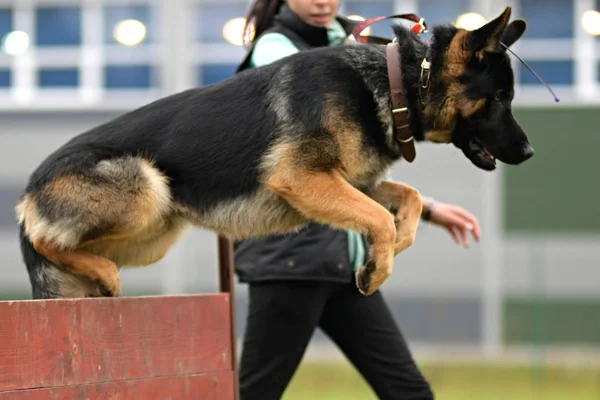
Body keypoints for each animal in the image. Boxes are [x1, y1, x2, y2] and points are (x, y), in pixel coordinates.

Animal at [15, 7, 528, 300]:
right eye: (502, 98)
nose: (529, 151)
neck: (396, 81)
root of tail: (27, 192)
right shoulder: (304, 181)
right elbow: (380, 219)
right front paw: (378, 269)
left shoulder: (351, 183)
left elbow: (409, 199)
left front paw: (397, 244)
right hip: (146, 189)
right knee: (47, 240)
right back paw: (97, 270)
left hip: (156, 230)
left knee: (69, 248)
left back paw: (98, 275)